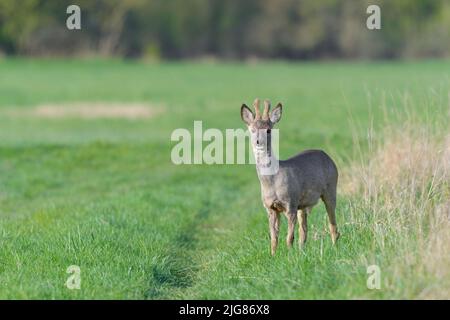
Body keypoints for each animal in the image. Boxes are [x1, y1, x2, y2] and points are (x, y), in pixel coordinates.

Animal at [241, 98, 340, 255]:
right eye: (252, 129)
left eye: (268, 129)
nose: (258, 142)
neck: (272, 182)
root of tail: (327, 156)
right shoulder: (270, 208)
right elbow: (273, 238)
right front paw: (273, 256)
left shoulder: (290, 203)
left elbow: (289, 237)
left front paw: (289, 256)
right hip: (303, 204)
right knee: (304, 231)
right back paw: (302, 251)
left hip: (330, 188)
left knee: (332, 225)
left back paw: (334, 247)